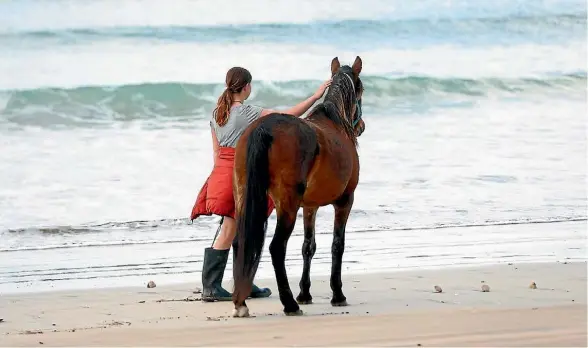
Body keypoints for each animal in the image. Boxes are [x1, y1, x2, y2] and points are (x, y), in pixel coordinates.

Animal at [232, 55, 366, 316]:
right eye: (362, 90)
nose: (361, 126)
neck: (335, 122)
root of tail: (264, 128)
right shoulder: (345, 201)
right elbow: (337, 245)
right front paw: (337, 294)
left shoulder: (310, 206)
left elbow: (308, 246)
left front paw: (305, 293)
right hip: (287, 205)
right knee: (277, 247)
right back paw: (289, 304)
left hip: (244, 195)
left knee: (239, 242)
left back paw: (242, 303)